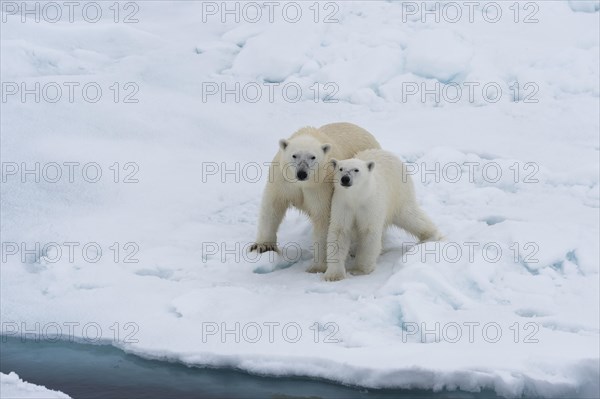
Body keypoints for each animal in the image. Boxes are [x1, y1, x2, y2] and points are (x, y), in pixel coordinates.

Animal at [248, 122, 380, 274]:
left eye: (313, 157)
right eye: (294, 155)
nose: (302, 173)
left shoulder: (320, 186)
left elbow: (323, 218)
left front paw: (318, 266)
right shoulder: (282, 180)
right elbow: (272, 206)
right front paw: (262, 246)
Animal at [324, 148, 440, 282]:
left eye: (356, 170)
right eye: (340, 168)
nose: (345, 179)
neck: (356, 197)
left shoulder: (370, 204)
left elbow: (369, 232)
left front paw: (359, 270)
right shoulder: (343, 204)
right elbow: (340, 231)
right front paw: (333, 275)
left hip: (399, 194)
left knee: (410, 216)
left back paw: (432, 236)